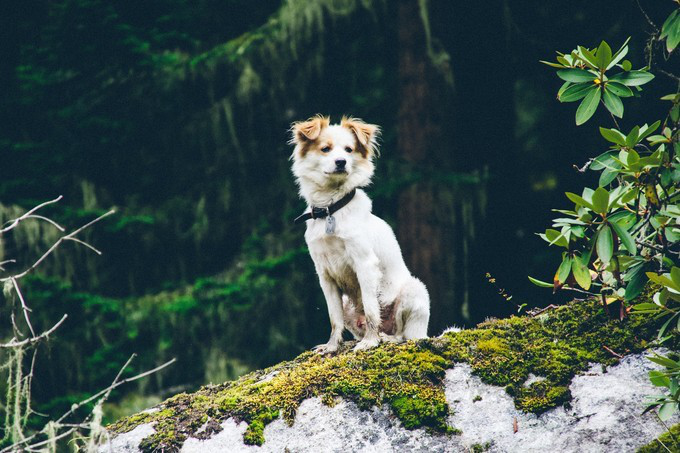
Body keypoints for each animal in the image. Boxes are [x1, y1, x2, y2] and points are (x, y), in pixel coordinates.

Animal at [288, 114, 428, 354]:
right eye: (325, 149)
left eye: (349, 149)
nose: (341, 162)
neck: (331, 209)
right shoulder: (324, 274)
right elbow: (334, 318)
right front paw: (332, 346)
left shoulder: (365, 264)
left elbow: (371, 310)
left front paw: (370, 342)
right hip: (348, 304)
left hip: (414, 291)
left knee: (401, 334)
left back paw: (384, 337)